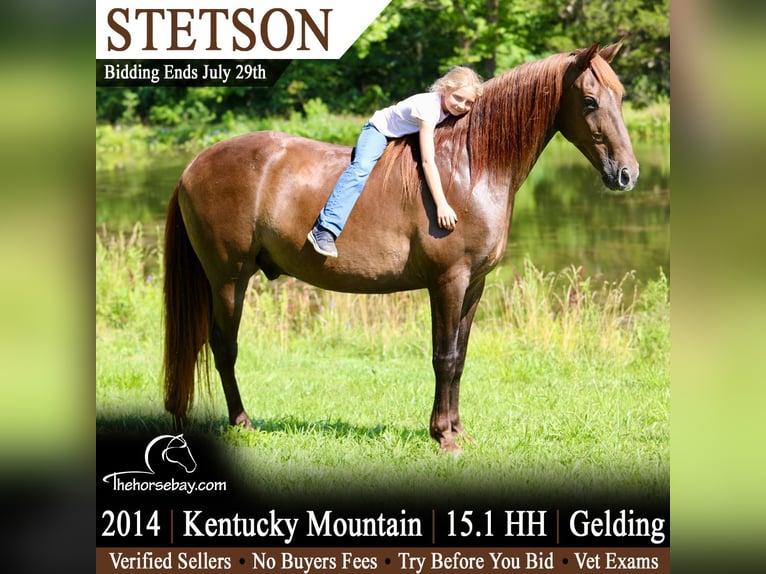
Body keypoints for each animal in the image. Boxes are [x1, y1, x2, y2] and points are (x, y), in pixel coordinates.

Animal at [162, 42, 638, 453]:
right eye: (590, 101)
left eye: (620, 95)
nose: (627, 174)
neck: (469, 167)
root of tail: (193, 165)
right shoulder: (448, 282)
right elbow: (444, 357)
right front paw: (443, 437)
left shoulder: (474, 285)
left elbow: (460, 358)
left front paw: (458, 430)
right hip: (229, 278)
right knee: (224, 347)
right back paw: (242, 422)